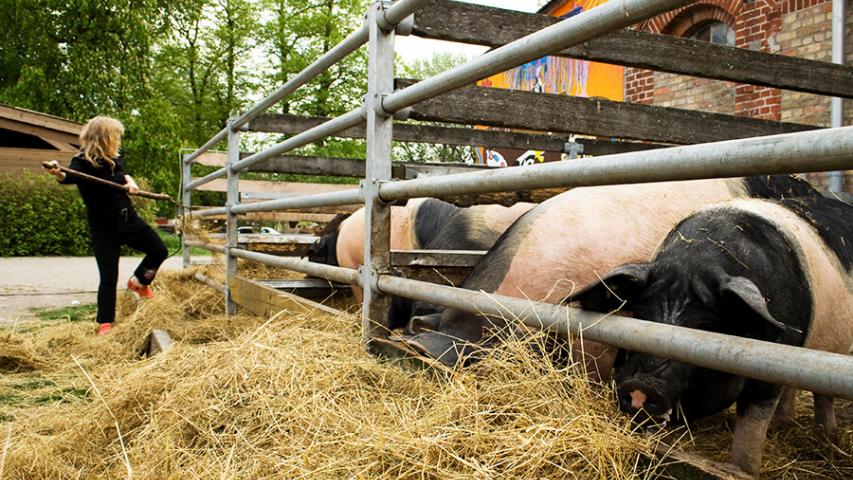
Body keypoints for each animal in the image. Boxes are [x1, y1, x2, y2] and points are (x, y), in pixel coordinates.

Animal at [564, 196, 852, 476]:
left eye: (705, 326)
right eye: (640, 315)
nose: (641, 386)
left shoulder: (774, 361)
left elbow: (751, 427)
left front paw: (741, 469)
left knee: (822, 394)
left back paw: (827, 436)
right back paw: (785, 424)